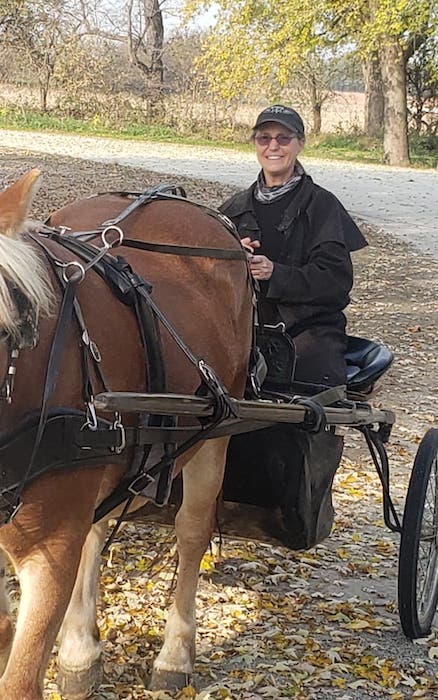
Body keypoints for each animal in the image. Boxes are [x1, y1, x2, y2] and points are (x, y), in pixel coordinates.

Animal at [0, 171, 253, 700]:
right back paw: (81, 649)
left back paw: (175, 654)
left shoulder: (49, 550)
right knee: (97, 529)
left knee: (192, 532)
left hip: (217, 429)